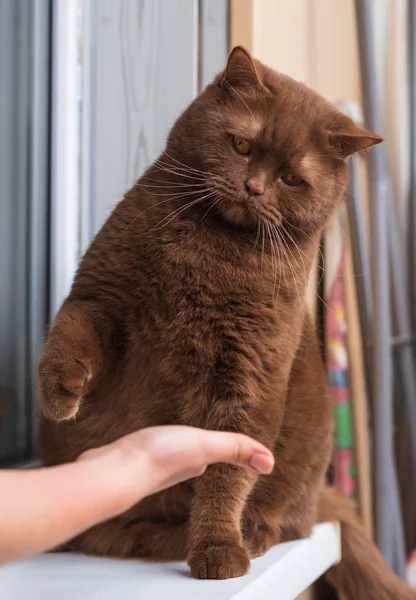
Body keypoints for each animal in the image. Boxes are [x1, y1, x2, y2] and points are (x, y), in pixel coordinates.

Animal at [38, 48, 412, 600]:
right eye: (241, 145)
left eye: (292, 179)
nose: (253, 187)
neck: (211, 252)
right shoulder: (102, 293)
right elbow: (70, 332)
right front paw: (60, 394)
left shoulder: (249, 375)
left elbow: (225, 477)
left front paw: (217, 549)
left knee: (285, 523)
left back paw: (243, 535)